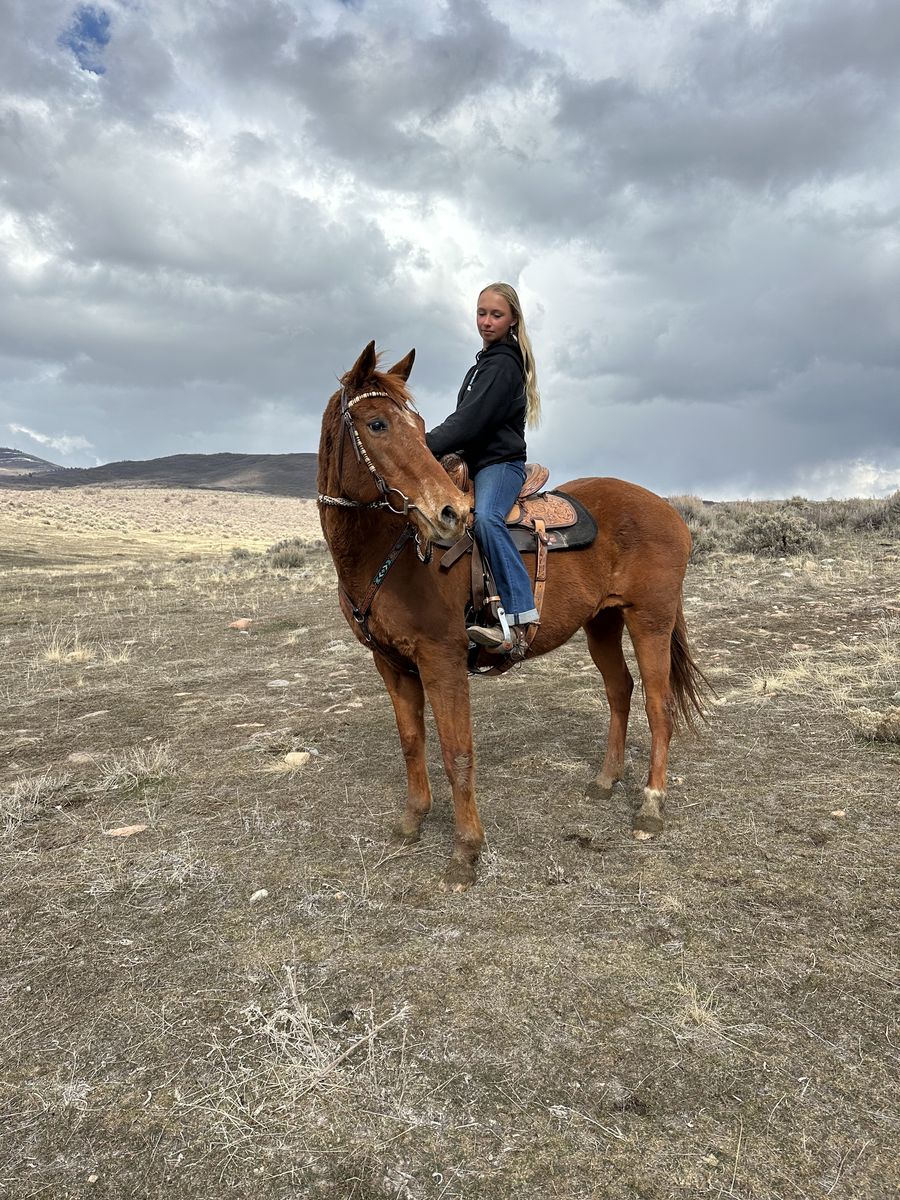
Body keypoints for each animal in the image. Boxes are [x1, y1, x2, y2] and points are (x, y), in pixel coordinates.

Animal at [318, 341, 706, 891]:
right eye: (377, 424)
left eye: (417, 425)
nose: (450, 513)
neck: (388, 552)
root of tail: (672, 511)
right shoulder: (391, 663)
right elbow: (412, 742)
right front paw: (412, 821)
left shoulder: (443, 659)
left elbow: (457, 752)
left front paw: (466, 851)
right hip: (602, 623)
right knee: (620, 691)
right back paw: (605, 781)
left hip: (650, 620)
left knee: (658, 705)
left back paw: (650, 806)